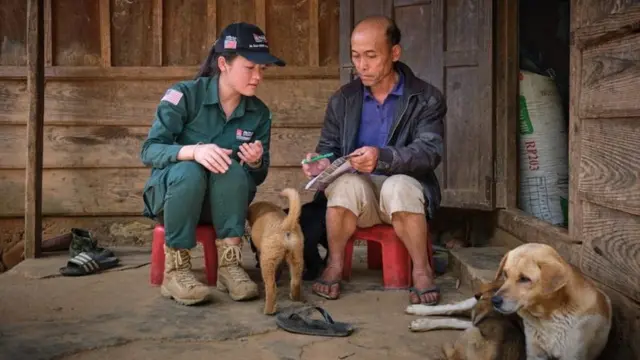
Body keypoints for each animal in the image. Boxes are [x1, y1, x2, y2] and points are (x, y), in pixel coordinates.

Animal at [246, 188, 304, 316]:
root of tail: (285, 225)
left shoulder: (261, 252)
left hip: (267, 261)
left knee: (271, 288)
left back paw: (268, 310)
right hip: (297, 257)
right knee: (296, 281)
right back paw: (295, 297)